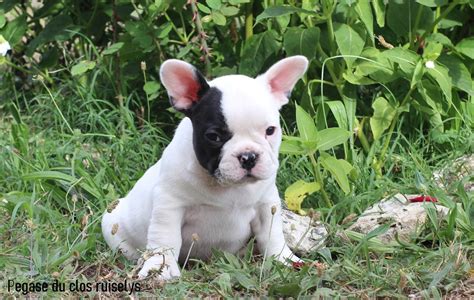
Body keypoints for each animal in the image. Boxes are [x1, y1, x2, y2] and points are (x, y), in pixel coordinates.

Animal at [102, 56, 310, 282]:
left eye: (270, 131)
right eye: (214, 136)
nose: (248, 156)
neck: (227, 187)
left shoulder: (266, 204)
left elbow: (272, 235)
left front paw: (284, 259)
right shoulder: (169, 205)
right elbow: (166, 237)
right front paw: (160, 268)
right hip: (111, 224)